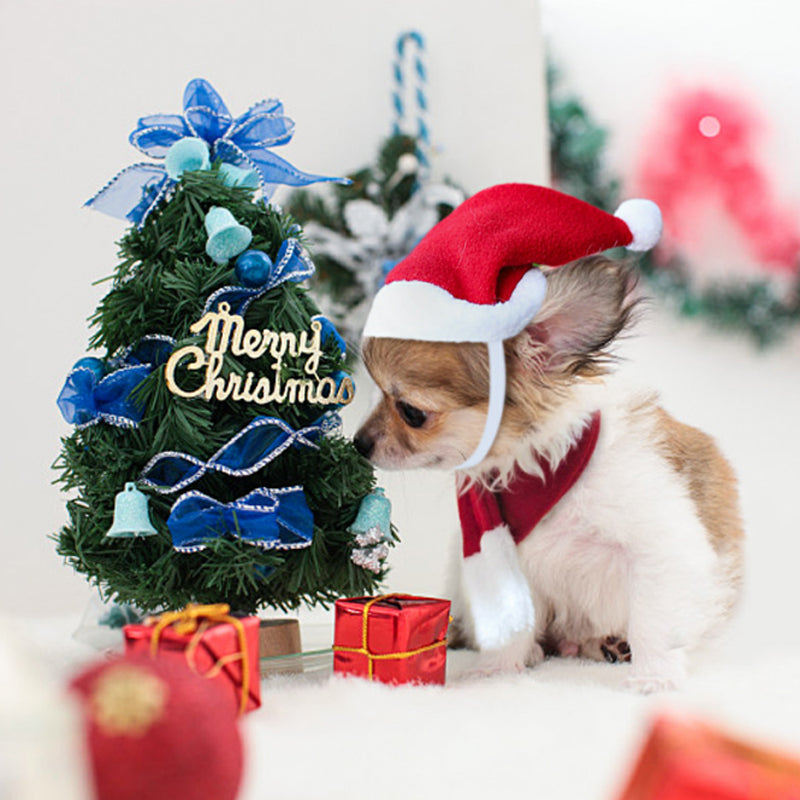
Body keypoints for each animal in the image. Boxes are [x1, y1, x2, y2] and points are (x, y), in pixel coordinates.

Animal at [356, 258, 744, 692]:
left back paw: (611, 644)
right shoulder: (502, 557)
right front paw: (499, 668)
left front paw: (655, 675)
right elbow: (509, 624)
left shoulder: (660, 547)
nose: (358, 443)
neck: (540, 475)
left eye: (411, 412)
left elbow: (654, 624)